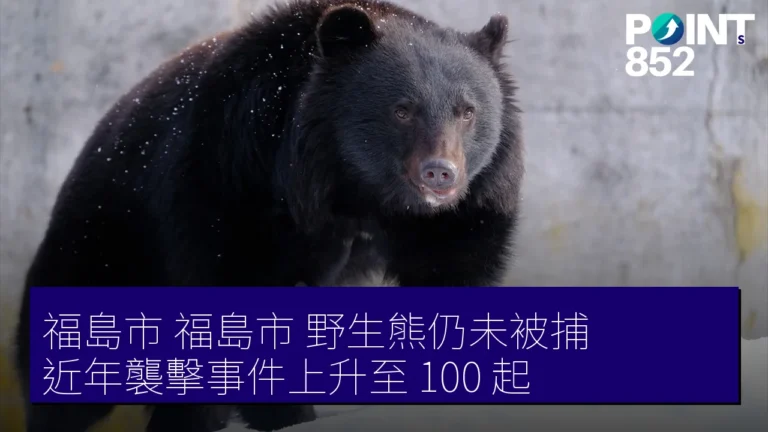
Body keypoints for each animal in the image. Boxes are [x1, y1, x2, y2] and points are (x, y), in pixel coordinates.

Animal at [14, 0, 524, 431]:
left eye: (467, 112)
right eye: (402, 110)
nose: (441, 173)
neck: (349, 184)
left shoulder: (460, 210)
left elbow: (451, 269)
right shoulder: (236, 177)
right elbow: (240, 289)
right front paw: (287, 414)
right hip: (105, 238)